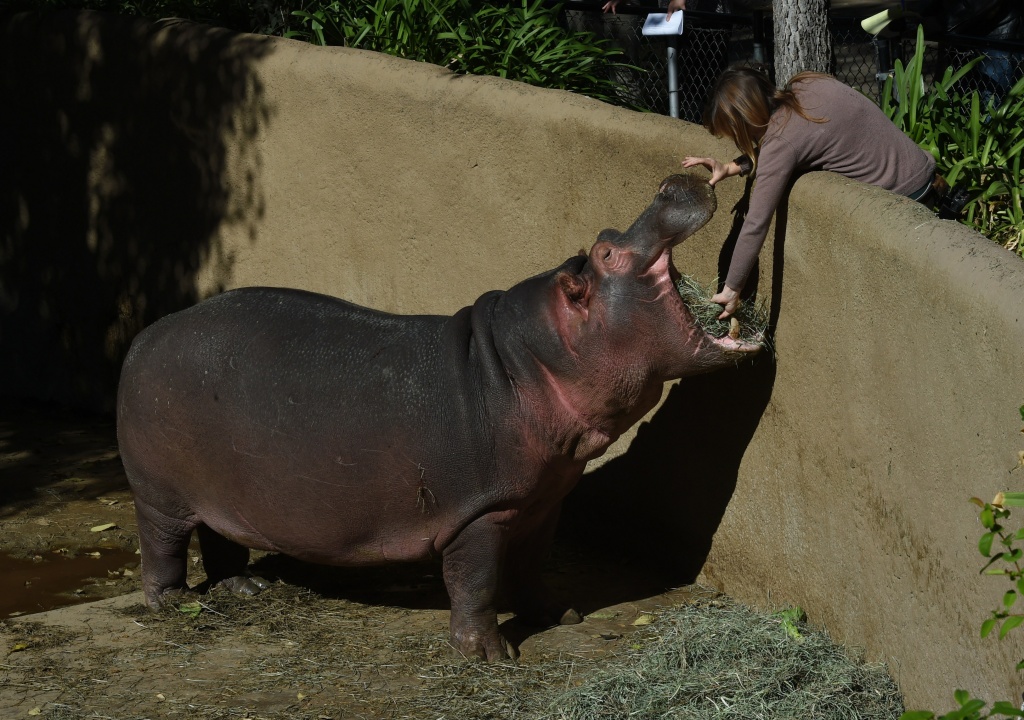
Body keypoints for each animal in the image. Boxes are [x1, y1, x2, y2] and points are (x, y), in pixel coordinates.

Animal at [116, 173, 761, 660]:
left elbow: (533, 566)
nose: (671, 182)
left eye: (603, 236)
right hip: (158, 493)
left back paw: (246, 587)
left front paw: (561, 614)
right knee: (161, 544)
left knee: (219, 534)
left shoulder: (543, 500)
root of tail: (145, 336)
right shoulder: (480, 511)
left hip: (219, 489)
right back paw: (175, 602)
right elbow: (476, 581)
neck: (531, 361)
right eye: (607, 253)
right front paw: (491, 654)